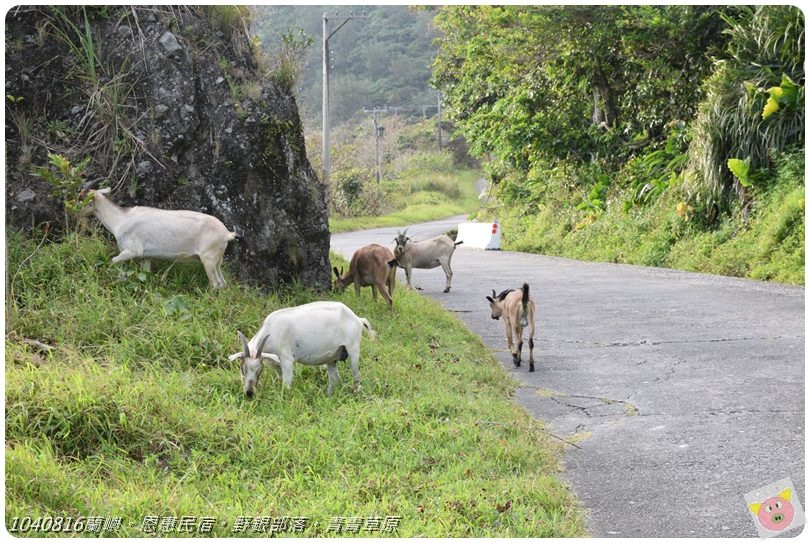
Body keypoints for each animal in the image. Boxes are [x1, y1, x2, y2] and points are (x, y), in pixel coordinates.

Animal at [79, 187, 237, 288]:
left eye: (81, 199)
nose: (75, 213)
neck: (120, 219)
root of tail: (227, 233)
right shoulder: (146, 257)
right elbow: (145, 273)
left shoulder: (131, 251)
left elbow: (113, 261)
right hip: (216, 261)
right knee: (222, 283)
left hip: (208, 260)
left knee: (215, 284)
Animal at [230, 300, 376, 398]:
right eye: (243, 369)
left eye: (259, 370)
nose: (249, 393)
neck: (271, 330)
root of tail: (357, 318)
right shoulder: (276, 364)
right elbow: (279, 379)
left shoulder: (287, 359)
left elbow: (286, 384)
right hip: (332, 358)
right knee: (335, 379)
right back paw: (328, 396)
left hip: (353, 350)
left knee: (357, 376)